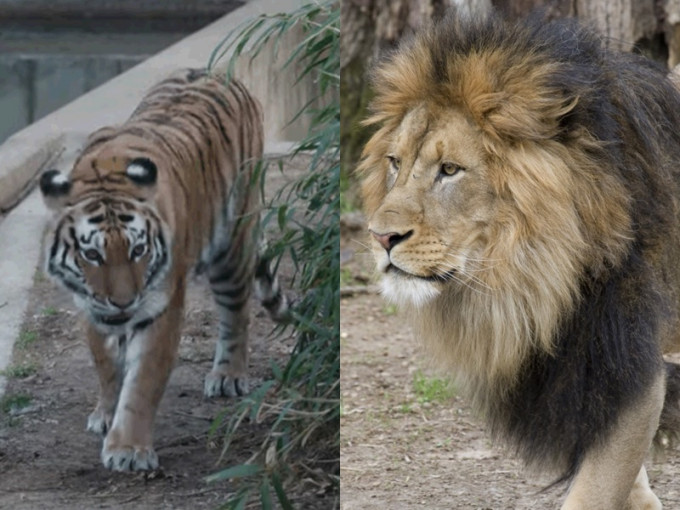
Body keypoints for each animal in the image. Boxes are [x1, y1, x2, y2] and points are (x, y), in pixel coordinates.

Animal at [37, 68, 286, 474]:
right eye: (92, 254)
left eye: (138, 250)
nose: (123, 302)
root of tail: (217, 72)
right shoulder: (90, 306)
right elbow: (106, 364)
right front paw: (105, 413)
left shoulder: (161, 307)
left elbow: (143, 382)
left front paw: (128, 448)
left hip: (233, 243)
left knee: (236, 313)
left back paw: (228, 376)